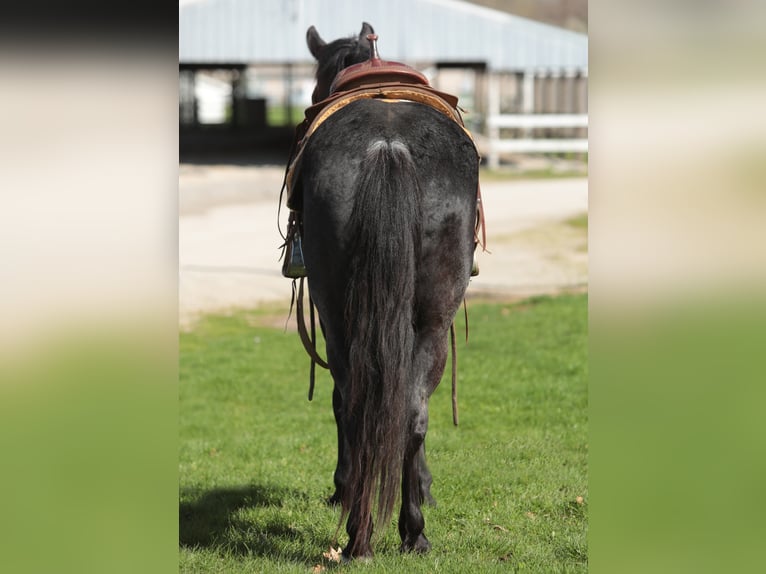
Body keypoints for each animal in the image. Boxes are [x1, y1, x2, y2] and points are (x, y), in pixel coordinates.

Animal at [292, 23, 480, 564]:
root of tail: (388, 146)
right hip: (429, 321)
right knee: (408, 413)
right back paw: (405, 532)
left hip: (345, 319)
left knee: (367, 407)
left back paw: (367, 533)